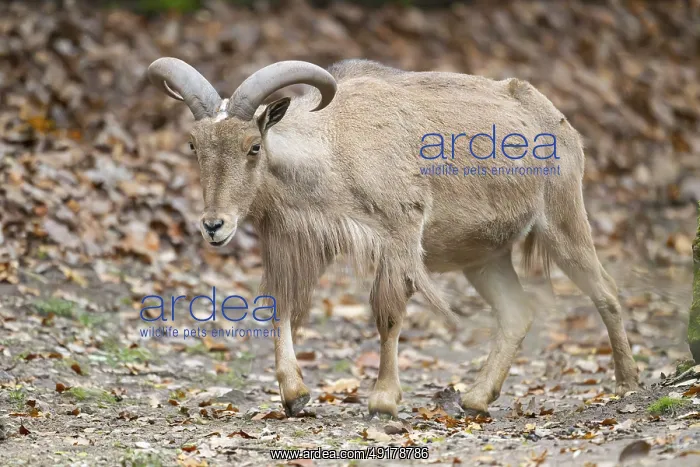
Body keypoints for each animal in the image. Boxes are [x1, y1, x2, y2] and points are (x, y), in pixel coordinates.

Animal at [147, 57, 640, 418]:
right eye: (194, 146)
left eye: (253, 146)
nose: (214, 226)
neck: (335, 146)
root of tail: (559, 121)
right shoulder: (299, 243)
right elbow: (281, 306)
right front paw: (294, 395)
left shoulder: (399, 235)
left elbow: (387, 312)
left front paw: (383, 400)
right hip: (484, 257)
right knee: (517, 313)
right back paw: (476, 398)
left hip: (563, 220)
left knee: (606, 291)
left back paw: (627, 384)